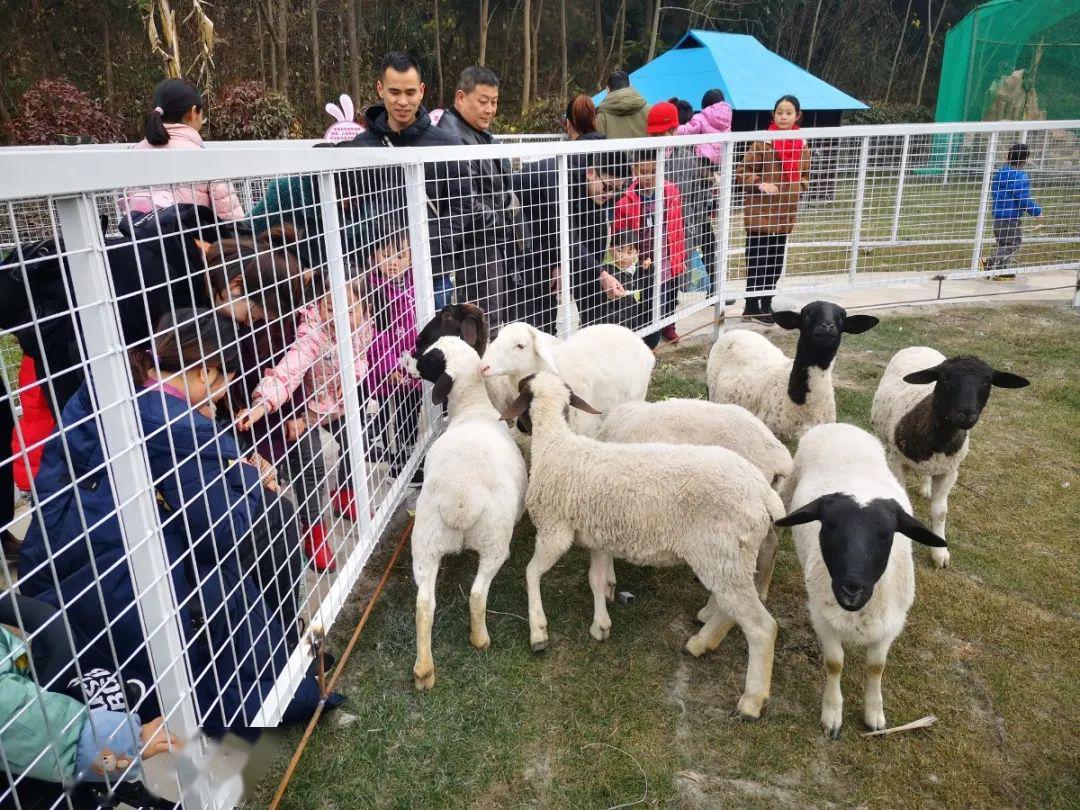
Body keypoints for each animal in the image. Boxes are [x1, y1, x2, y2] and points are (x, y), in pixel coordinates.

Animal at [408, 336, 527, 691]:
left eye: (427, 359)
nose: (407, 362)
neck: (473, 410)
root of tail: (459, 500)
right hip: (494, 541)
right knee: (476, 594)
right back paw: (480, 638)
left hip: (425, 544)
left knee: (424, 604)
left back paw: (424, 671)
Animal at [505, 371, 786, 721]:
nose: (518, 427)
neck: (556, 445)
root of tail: (764, 493)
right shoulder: (599, 537)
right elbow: (596, 579)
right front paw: (601, 624)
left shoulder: (554, 532)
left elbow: (531, 574)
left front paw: (538, 631)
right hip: (727, 558)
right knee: (729, 606)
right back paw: (701, 642)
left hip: (723, 554)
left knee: (762, 627)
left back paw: (751, 700)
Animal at [777, 425, 946, 743]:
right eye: (829, 526)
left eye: (886, 535)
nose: (851, 587)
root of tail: (839, 426)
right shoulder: (822, 617)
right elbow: (834, 663)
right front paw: (832, 716)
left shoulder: (891, 624)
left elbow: (876, 667)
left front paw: (874, 715)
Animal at [868, 349, 1028, 570]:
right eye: (944, 377)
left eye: (988, 380)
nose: (966, 414)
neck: (939, 440)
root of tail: (921, 346)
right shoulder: (896, 462)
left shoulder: (950, 472)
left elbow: (940, 511)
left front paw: (940, 554)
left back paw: (926, 488)